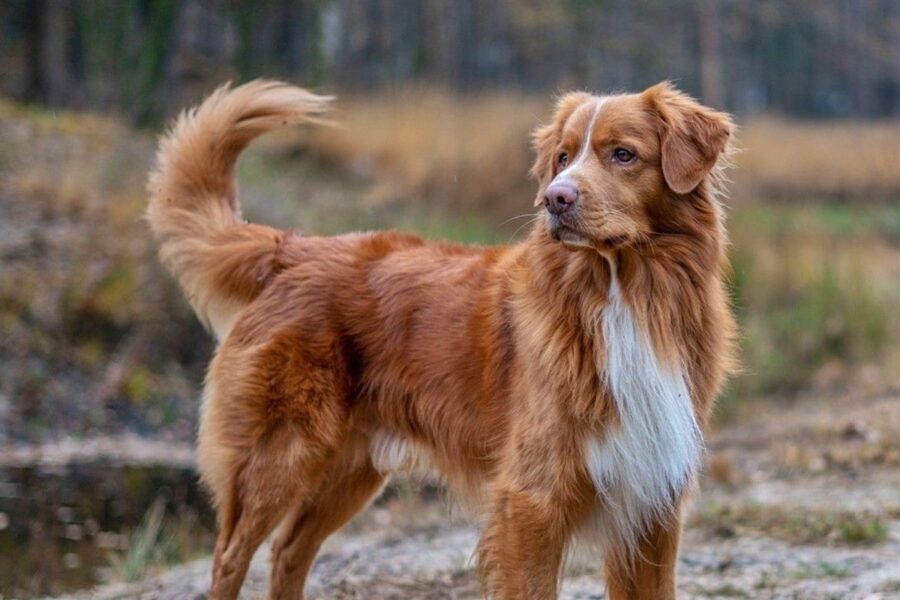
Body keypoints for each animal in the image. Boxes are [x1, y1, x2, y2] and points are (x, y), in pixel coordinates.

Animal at [146, 81, 740, 600]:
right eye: (563, 157)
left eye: (623, 154)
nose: (555, 199)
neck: (623, 292)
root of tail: (292, 249)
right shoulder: (532, 500)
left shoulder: (652, 507)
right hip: (280, 454)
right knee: (231, 558)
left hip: (351, 470)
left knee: (289, 551)